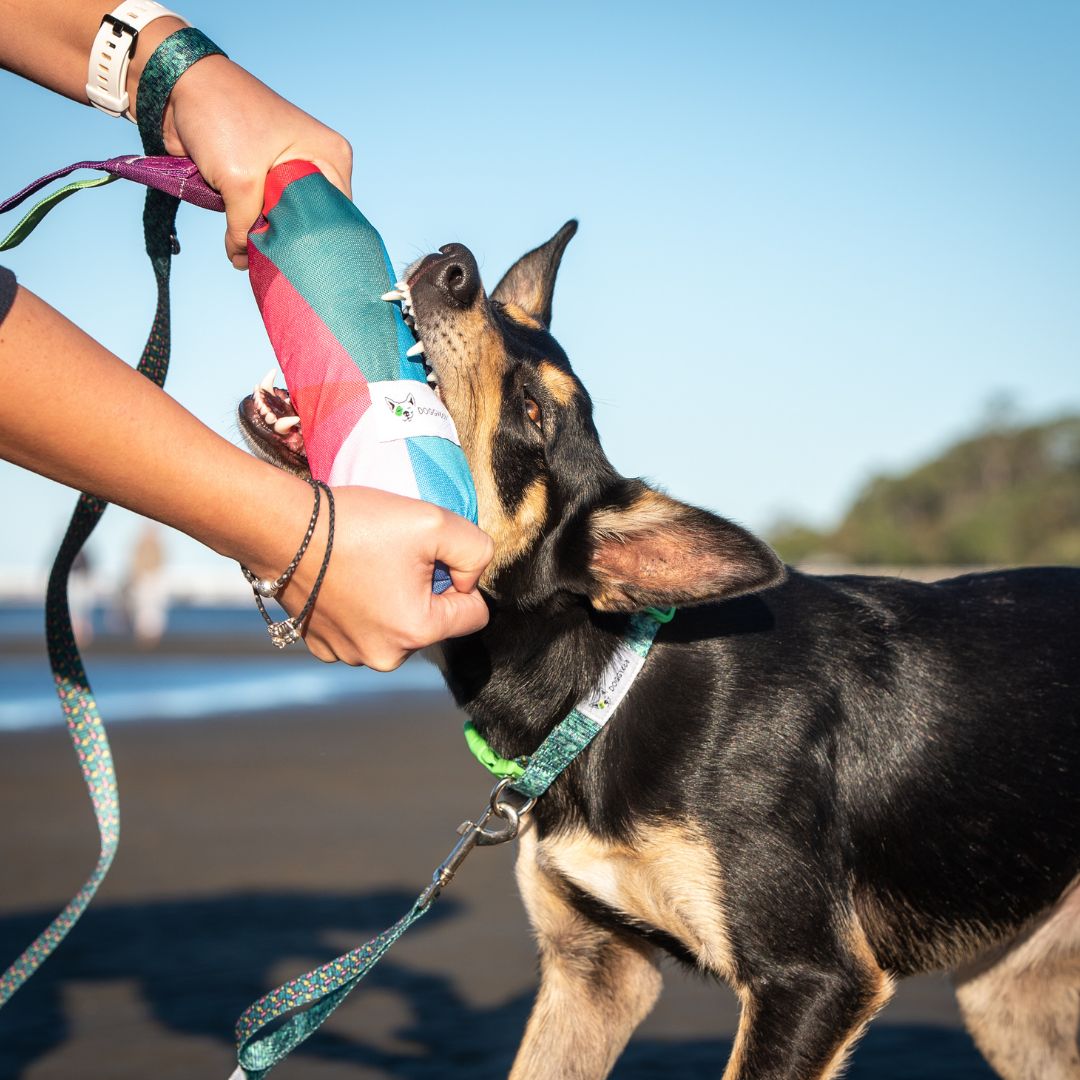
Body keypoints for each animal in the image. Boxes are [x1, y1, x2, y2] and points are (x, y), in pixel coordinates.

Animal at [238, 223, 1080, 1075]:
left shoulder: (810, 979)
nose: (454, 265)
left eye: (533, 410)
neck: (602, 692)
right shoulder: (593, 972)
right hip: (1011, 1000)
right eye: (500, 318)